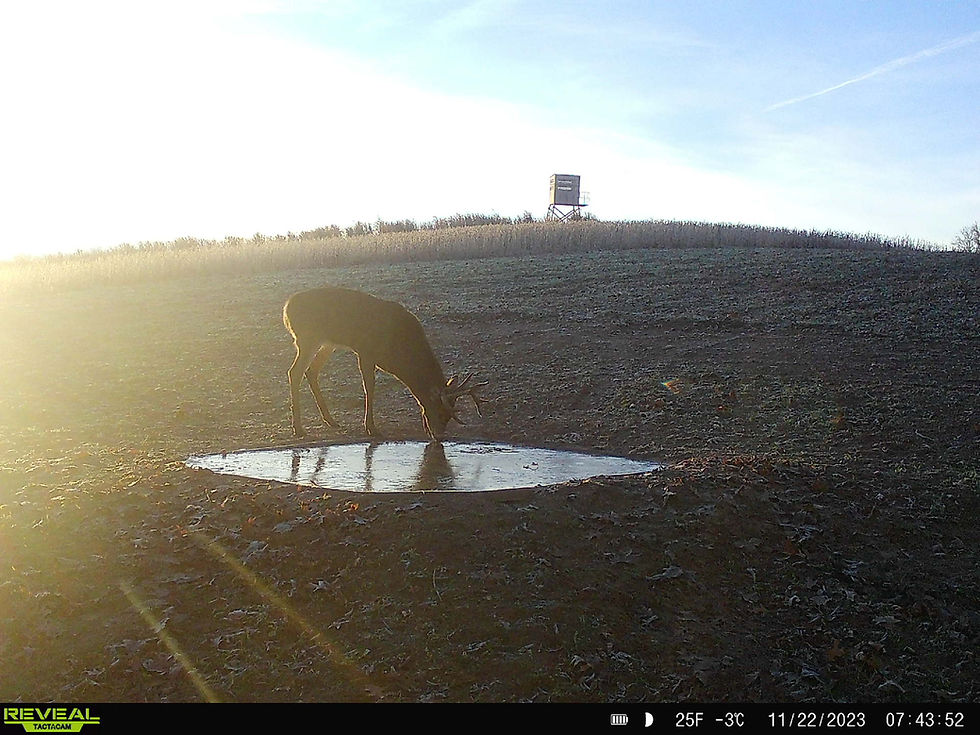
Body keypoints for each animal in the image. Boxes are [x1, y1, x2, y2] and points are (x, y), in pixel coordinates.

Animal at [283, 286, 487, 440]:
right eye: (440, 411)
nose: (438, 436)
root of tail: (286, 307)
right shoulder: (365, 351)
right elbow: (370, 387)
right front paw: (371, 428)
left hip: (327, 342)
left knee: (311, 371)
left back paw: (330, 420)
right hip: (308, 337)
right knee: (294, 372)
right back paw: (299, 429)